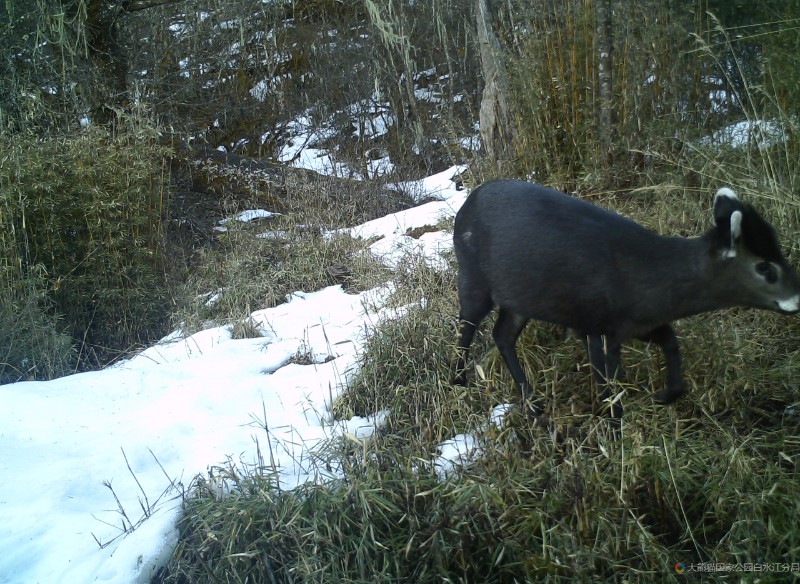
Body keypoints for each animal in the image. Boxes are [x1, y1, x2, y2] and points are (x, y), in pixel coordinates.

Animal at [454, 180, 796, 422]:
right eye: (764, 267)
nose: (795, 299)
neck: (646, 283)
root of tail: (465, 206)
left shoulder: (636, 324)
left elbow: (670, 342)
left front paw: (665, 396)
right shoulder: (593, 324)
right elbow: (608, 389)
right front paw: (614, 432)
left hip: (521, 298)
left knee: (502, 335)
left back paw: (533, 405)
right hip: (473, 277)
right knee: (466, 327)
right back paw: (460, 382)